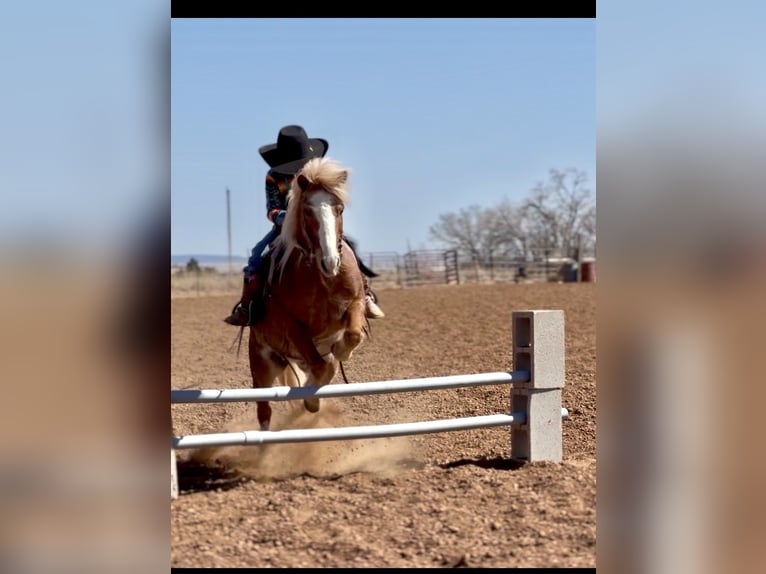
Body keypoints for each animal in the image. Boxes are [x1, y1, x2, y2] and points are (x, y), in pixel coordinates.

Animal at [247, 157, 369, 430]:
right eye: (307, 211)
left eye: (339, 209)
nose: (330, 262)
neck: (321, 279)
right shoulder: (293, 327)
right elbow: (321, 367)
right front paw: (311, 401)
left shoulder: (355, 303)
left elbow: (351, 338)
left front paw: (342, 349)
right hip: (262, 364)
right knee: (264, 410)